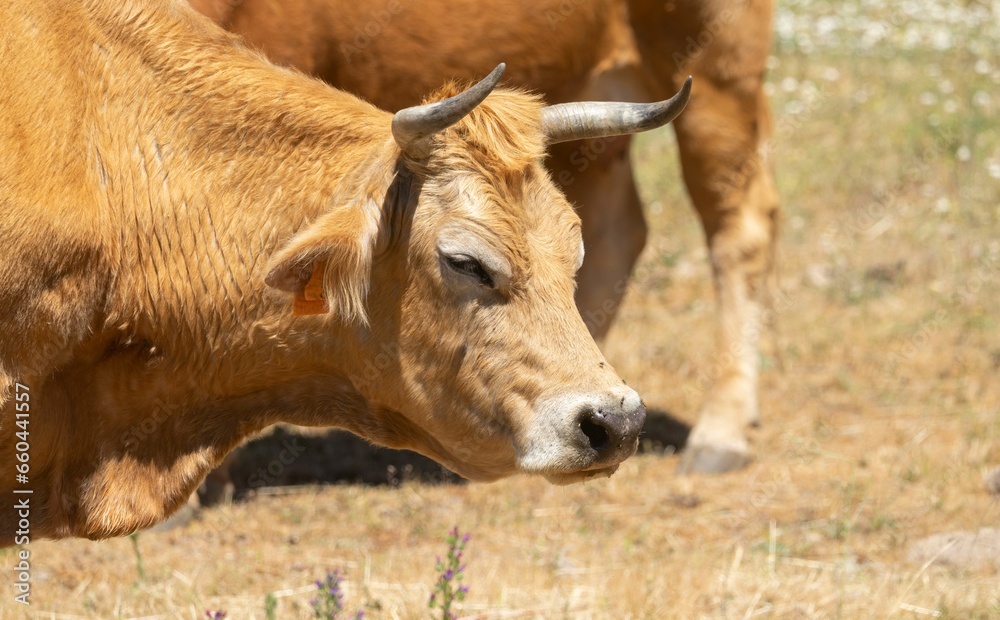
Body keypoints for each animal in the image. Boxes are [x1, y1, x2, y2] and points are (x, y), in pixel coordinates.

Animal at [188, 0, 781, 473]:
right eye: (465, 263)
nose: (616, 421)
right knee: (623, 228)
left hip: (717, 70)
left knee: (742, 226)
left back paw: (718, 433)